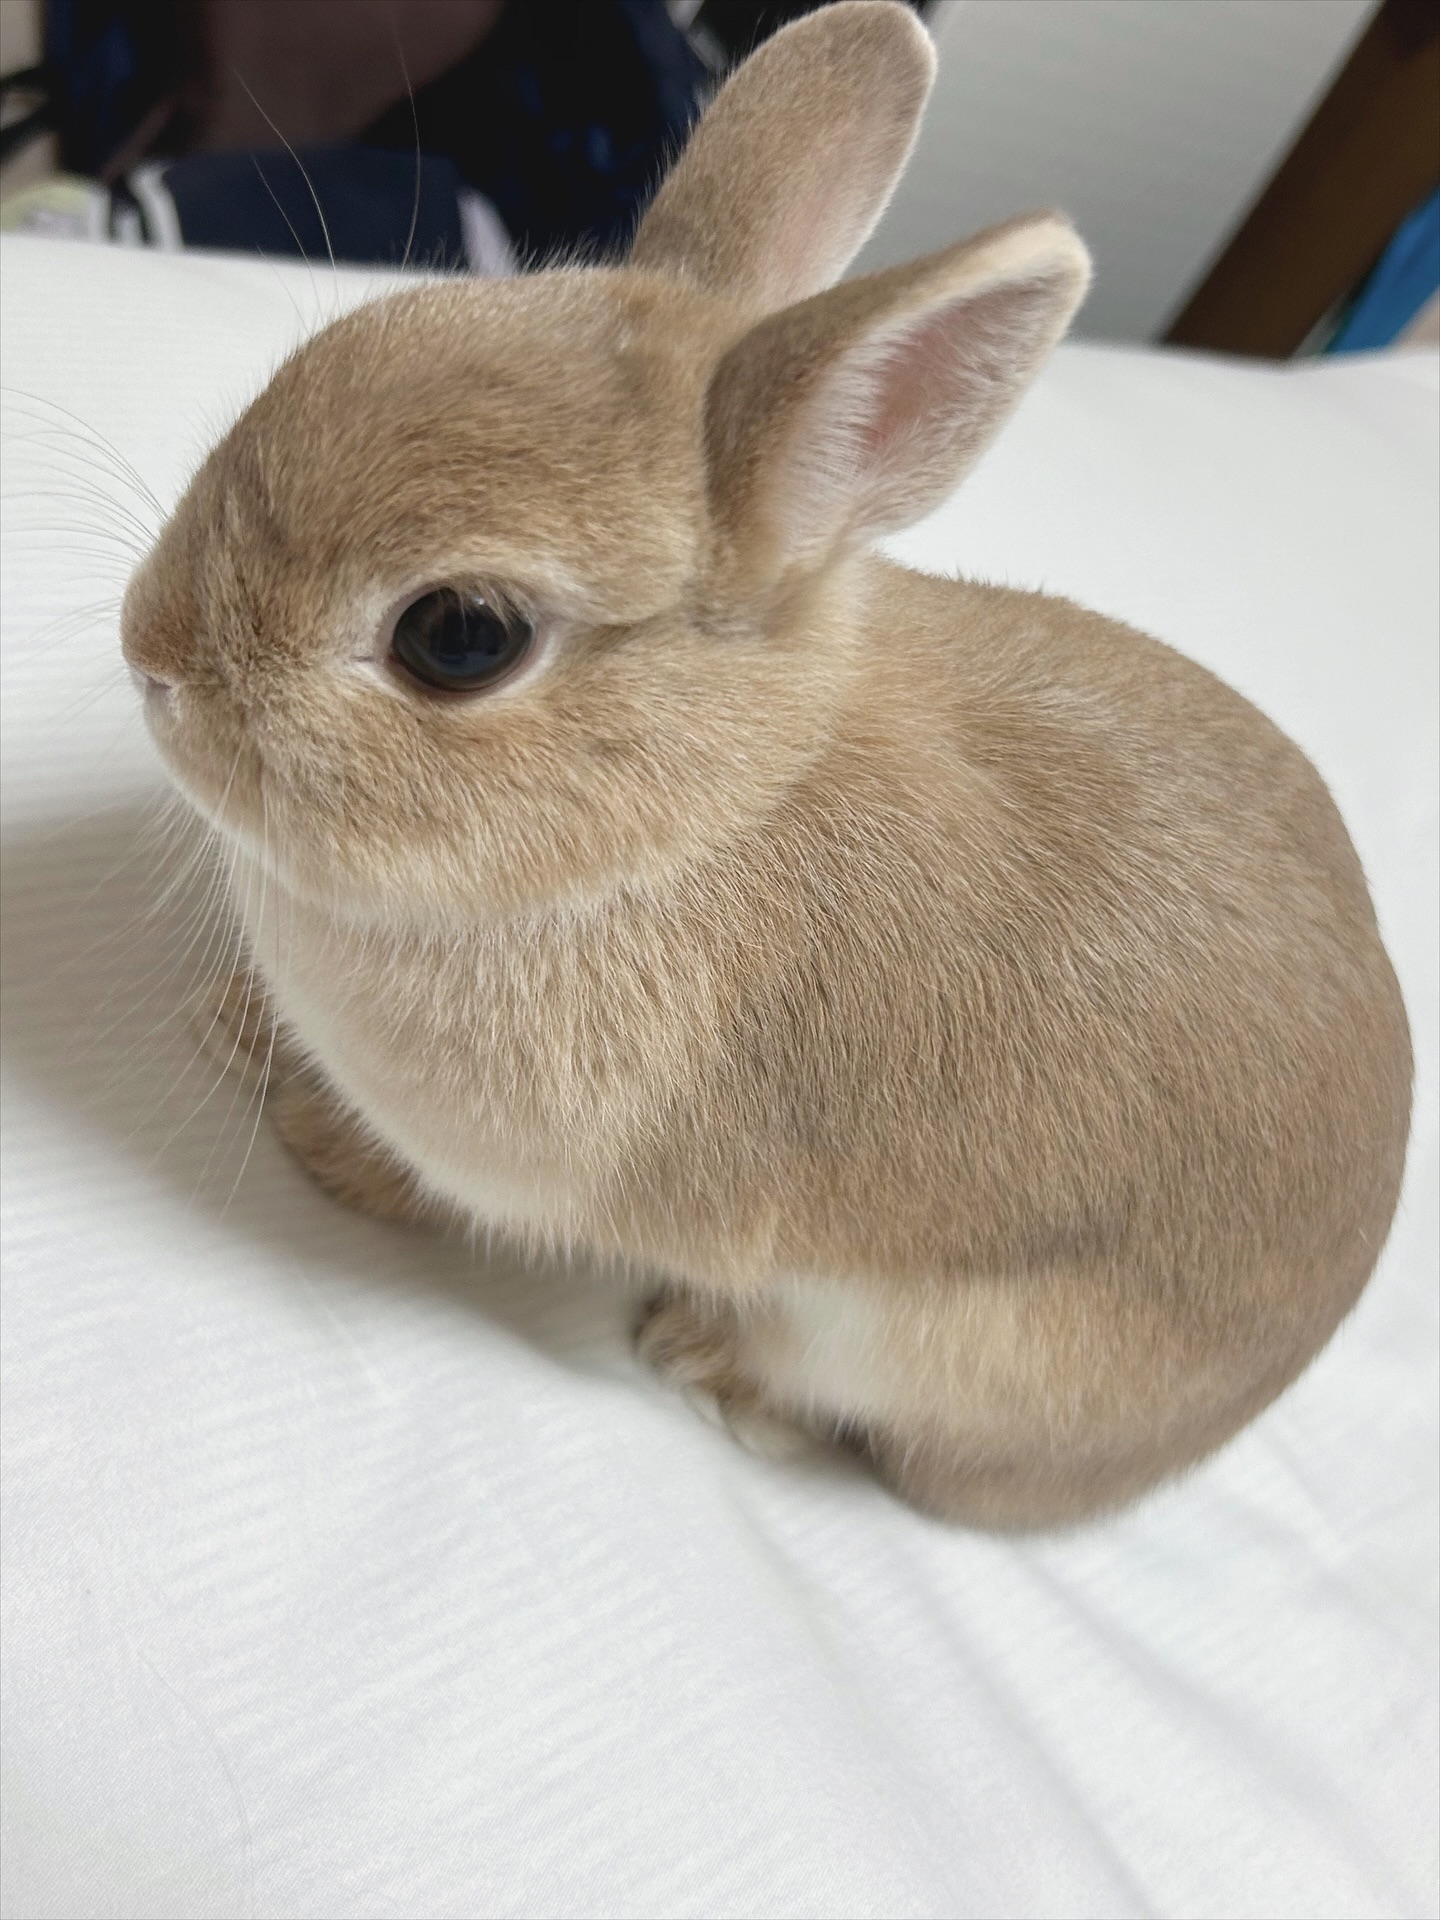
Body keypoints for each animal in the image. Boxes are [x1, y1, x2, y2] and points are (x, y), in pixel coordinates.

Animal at [120, 0, 1411, 1529]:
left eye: (461, 638)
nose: (150, 653)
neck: (702, 811)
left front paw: (321, 1147)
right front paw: (238, 1024)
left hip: (925, 1348)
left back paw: (708, 1365)